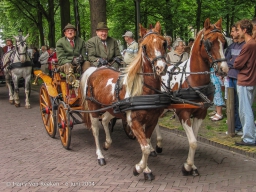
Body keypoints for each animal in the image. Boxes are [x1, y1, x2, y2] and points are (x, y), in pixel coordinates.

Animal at [80, 21, 168, 180]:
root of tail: (95, 69)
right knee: (95, 130)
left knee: (105, 121)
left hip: (110, 108)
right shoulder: (133, 122)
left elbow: (147, 144)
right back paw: (100, 156)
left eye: (164, 43)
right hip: (94, 108)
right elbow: (145, 148)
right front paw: (139, 169)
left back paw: (107, 143)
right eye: (144, 46)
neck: (143, 90)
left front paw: (146, 169)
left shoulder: (151, 121)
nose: (161, 67)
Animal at [155, 18, 229, 176]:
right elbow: (193, 142)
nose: (224, 69)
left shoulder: (201, 113)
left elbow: (194, 140)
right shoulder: (183, 113)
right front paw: (188, 167)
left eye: (224, 42)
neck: (193, 80)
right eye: (209, 43)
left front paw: (192, 165)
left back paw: (158, 145)